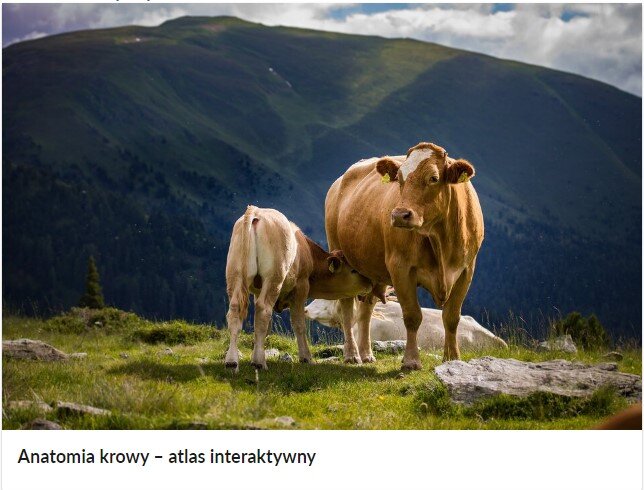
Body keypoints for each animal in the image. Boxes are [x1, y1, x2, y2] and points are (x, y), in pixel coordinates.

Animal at [225, 205, 372, 370]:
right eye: (353, 270)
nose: (370, 282)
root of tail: (256, 212)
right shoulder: (301, 288)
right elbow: (298, 324)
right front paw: (306, 357)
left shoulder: (257, 291)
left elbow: (264, 327)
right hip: (274, 277)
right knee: (263, 309)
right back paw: (259, 363)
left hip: (235, 274)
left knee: (235, 310)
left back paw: (231, 361)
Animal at [328, 142, 484, 368]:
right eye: (399, 179)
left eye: (433, 178)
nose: (400, 215)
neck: (440, 240)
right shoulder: (400, 268)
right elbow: (412, 316)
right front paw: (411, 360)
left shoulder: (466, 270)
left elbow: (452, 317)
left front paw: (452, 358)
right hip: (340, 257)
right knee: (347, 309)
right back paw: (352, 355)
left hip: (372, 271)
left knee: (366, 309)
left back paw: (366, 354)